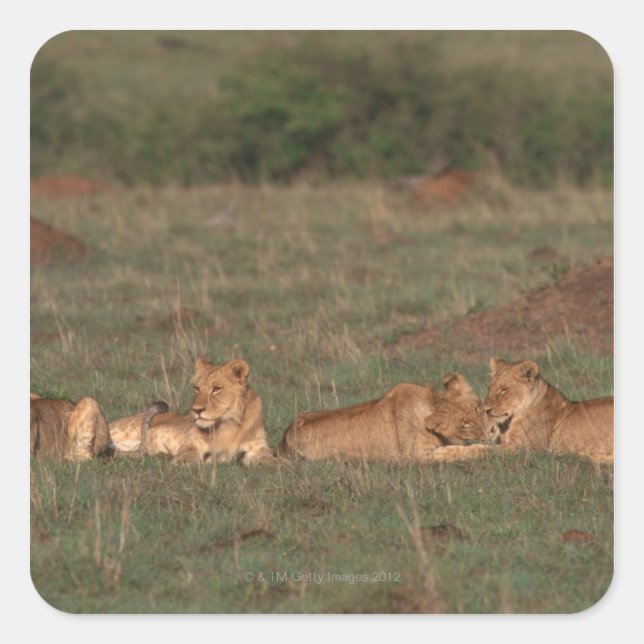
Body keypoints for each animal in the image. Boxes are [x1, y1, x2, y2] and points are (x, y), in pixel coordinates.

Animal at [109, 358, 275, 465]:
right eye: (197, 388)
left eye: (216, 389)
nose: (196, 410)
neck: (228, 424)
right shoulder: (192, 443)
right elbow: (187, 455)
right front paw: (183, 461)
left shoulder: (258, 447)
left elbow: (272, 459)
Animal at [276, 373, 492, 462]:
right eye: (465, 424)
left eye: (479, 408)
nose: (489, 432)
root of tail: (284, 436)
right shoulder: (415, 455)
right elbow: (456, 452)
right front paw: (486, 451)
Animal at [432, 358, 614, 463]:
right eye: (489, 388)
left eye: (504, 390)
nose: (486, 410)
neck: (509, 422)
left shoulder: (524, 450)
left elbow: (481, 449)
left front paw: (444, 453)